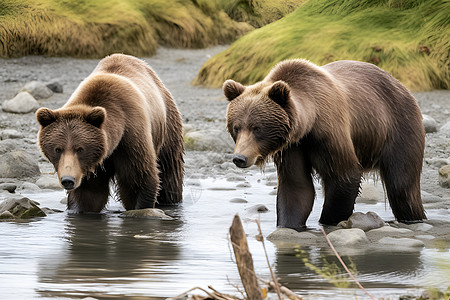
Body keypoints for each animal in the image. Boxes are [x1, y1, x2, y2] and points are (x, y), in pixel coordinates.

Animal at [35, 54, 183, 213]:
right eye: (58, 149)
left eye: (80, 149)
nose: (68, 180)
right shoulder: (91, 165)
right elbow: (89, 194)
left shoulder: (130, 137)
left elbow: (138, 179)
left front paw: (140, 207)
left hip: (167, 126)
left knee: (169, 171)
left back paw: (170, 201)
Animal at [223, 58, 428, 229]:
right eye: (236, 127)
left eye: (257, 128)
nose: (240, 158)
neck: (308, 124)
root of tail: (400, 84)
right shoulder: (292, 148)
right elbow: (296, 187)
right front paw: (289, 225)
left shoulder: (329, 134)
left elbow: (345, 176)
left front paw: (328, 221)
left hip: (399, 129)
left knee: (402, 186)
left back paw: (414, 217)